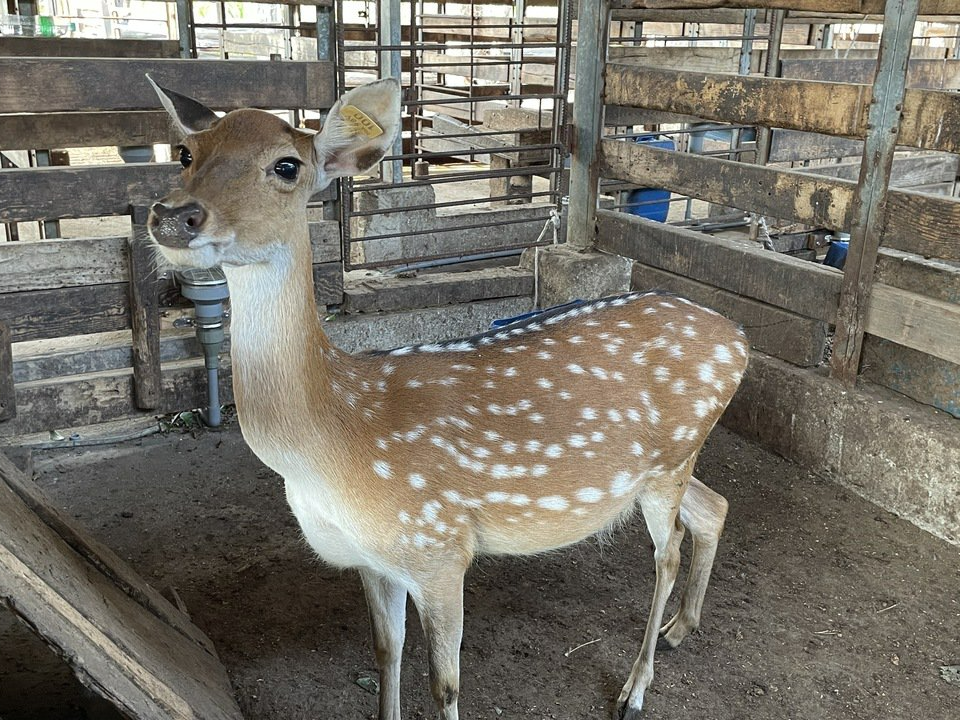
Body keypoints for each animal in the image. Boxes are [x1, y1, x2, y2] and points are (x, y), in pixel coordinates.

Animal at [148, 76, 752, 716]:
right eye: (185, 153)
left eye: (286, 165)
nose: (174, 216)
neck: (332, 438)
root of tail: (740, 338)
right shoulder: (374, 559)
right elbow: (386, 653)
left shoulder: (438, 545)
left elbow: (445, 683)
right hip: (664, 466)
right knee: (714, 507)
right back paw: (682, 627)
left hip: (668, 464)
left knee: (669, 550)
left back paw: (636, 686)